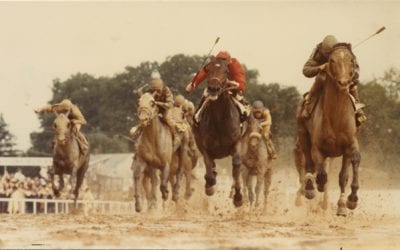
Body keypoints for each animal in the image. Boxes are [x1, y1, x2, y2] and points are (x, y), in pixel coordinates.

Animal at [191, 56, 244, 207]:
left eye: (226, 71)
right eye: (207, 69)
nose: (213, 88)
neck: (220, 120)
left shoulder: (236, 143)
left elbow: (236, 166)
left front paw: (238, 197)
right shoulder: (204, 147)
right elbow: (209, 170)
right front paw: (209, 186)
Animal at [294, 44, 362, 216]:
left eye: (352, 60)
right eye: (331, 60)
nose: (344, 82)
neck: (336, 117)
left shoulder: (349, 146)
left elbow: (344, 174)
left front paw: (347, 202)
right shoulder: (318, 148)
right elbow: (320, 174)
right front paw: (315, 188)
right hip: (303, 136)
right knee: (309, 164)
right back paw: (310, 190)